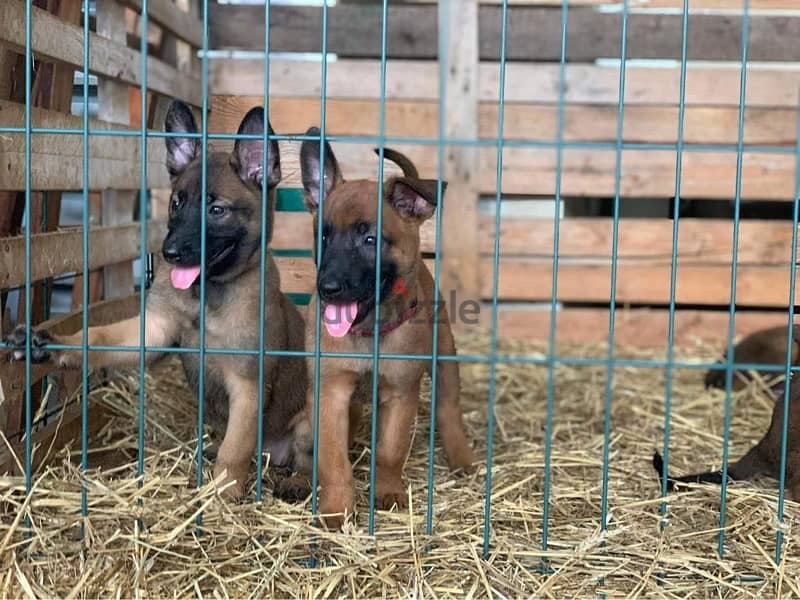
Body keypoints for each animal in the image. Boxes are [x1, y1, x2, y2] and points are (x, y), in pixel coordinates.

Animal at [4, 101, 308, 500]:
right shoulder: (153, 331)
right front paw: (51, 344)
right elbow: (98, 338)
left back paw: (297, 481)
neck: (206, 295)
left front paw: (218, 498)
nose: (170, 253)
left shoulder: (248, 387)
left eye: (216, 210)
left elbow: (236, 450)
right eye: (177, 203)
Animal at [276, 130, 476, 524]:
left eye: (370, 240)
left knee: (448, 407)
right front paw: (337, 509)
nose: (327, 288)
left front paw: (387, 491)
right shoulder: (331, 392)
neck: (369, 332)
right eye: (323, 237)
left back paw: (461, 456)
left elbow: (390, 451)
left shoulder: (401, 394)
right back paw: (300, 481)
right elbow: (333, 458)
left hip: (445, 356)